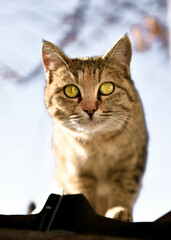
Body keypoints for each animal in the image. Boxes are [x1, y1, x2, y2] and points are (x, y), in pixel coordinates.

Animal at [41, 35, 148, 221]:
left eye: (107, 87)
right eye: (71, 90)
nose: (90, 109)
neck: (98, 141)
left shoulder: (130, 163)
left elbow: (125, 186)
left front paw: (119, 209)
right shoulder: (77, 172)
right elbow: (82, 194)